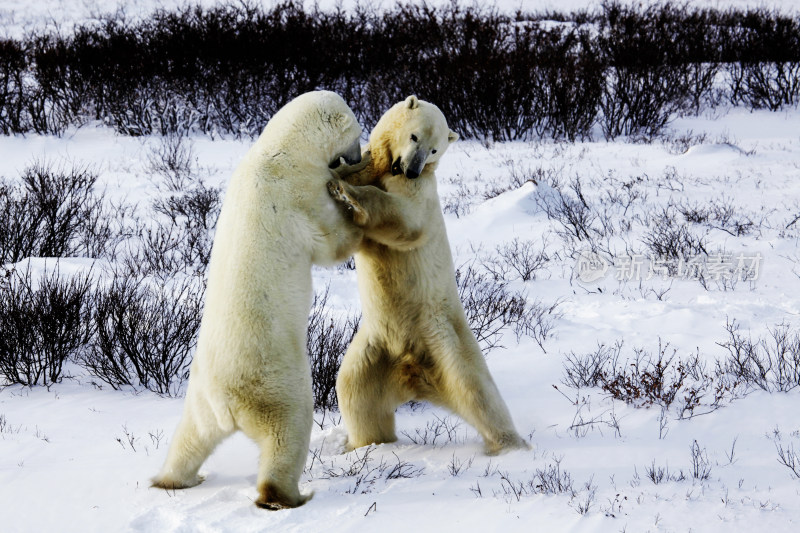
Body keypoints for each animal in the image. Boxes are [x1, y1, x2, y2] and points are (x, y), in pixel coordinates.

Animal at [151, 90, 372, 508]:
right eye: (355, 131)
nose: (357, 155)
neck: (279, 150)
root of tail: (226, 403)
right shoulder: (299, 191)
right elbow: (330, 242)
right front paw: (353, 206)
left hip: (199, 397)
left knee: (190, 437)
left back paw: (174, 479)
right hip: (276, 384)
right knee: (287, 433)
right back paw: (289, 495)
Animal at [328, 95, 528, 454]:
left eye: (435, 150)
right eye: (414, 137)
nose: (411, 168)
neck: (389, 168)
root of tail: (413, 373)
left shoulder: (420, 189)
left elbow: (406, 219)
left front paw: (345, 191)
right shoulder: (375, 168)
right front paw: (337, 174)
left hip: (444, 336)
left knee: (477, 390)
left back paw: (511, 446)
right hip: (375, 349)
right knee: (354, 390)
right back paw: (366, 444)